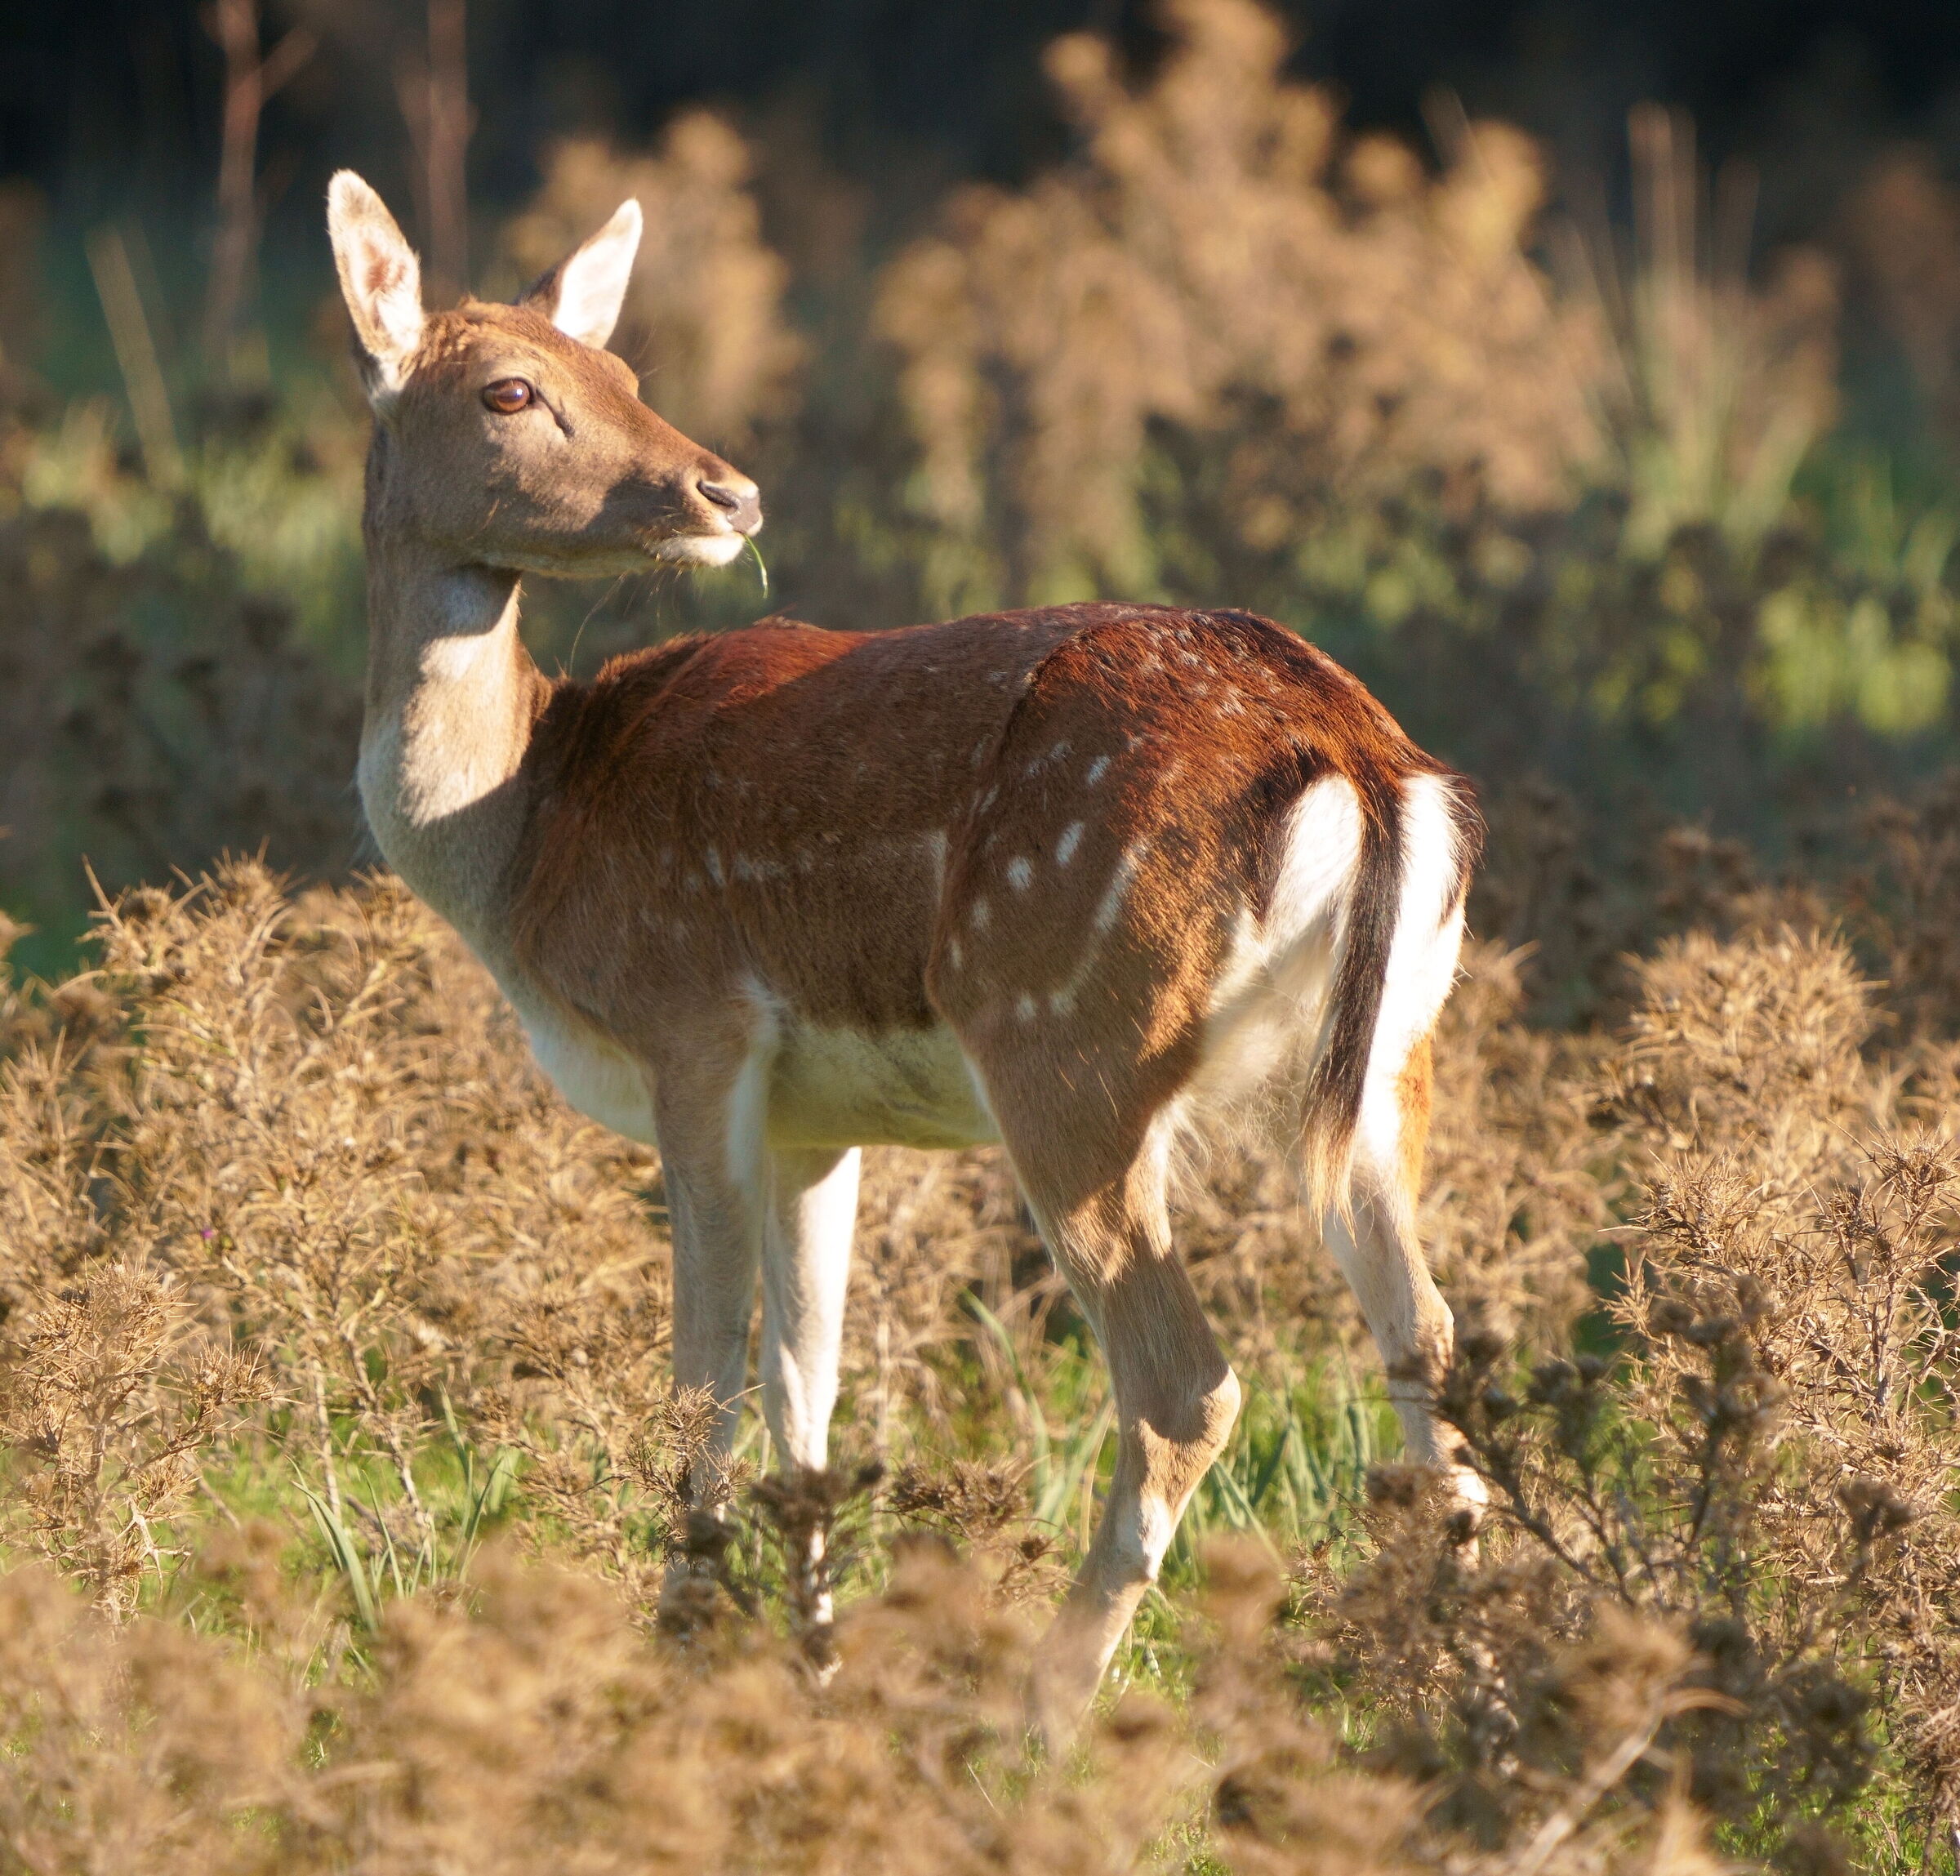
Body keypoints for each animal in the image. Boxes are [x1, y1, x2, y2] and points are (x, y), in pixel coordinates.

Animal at [326, 169, 1484, 1726]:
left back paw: (1043, 1710)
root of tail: (1361, 757)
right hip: (1387, 1058)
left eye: (619, 376)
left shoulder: (695, 1021)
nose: (727, 491)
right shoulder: (816, 1115)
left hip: (1066, 1034)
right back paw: (1477, 1692)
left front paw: (676, 1662)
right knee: (1429, 1343)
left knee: (1186, 1384)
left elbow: (703, 1376)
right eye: (516, 387)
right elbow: (803, 1389)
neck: (527, 828)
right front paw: (812, 1667)